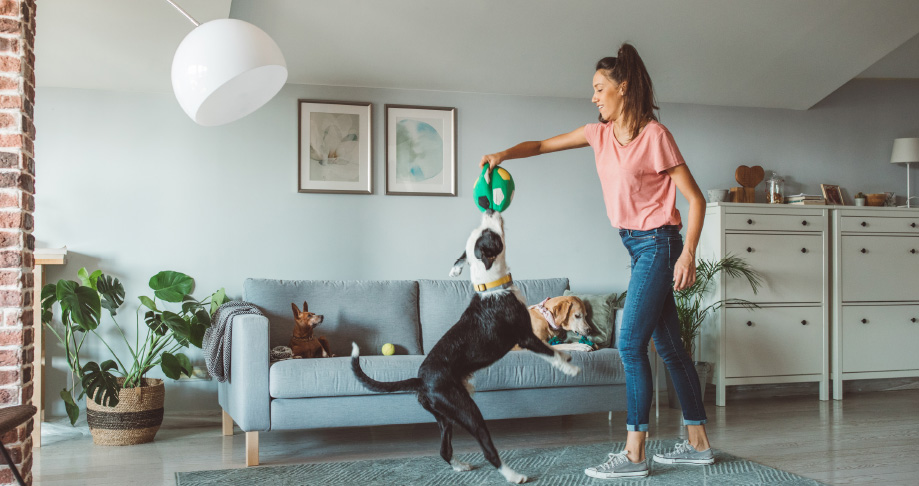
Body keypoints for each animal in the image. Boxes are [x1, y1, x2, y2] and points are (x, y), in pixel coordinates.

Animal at [352, 211, 584, 484]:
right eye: (489, 234)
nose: (489, 211)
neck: (492, 286)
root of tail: (420, 381)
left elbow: (555, 349)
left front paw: (569, 358)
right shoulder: (525, 337)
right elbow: (549, 352)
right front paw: (570, 368)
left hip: (445, 417)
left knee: (444, 449)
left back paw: (460, 466)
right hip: (467, 410)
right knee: (488, 451)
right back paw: (513, 475)